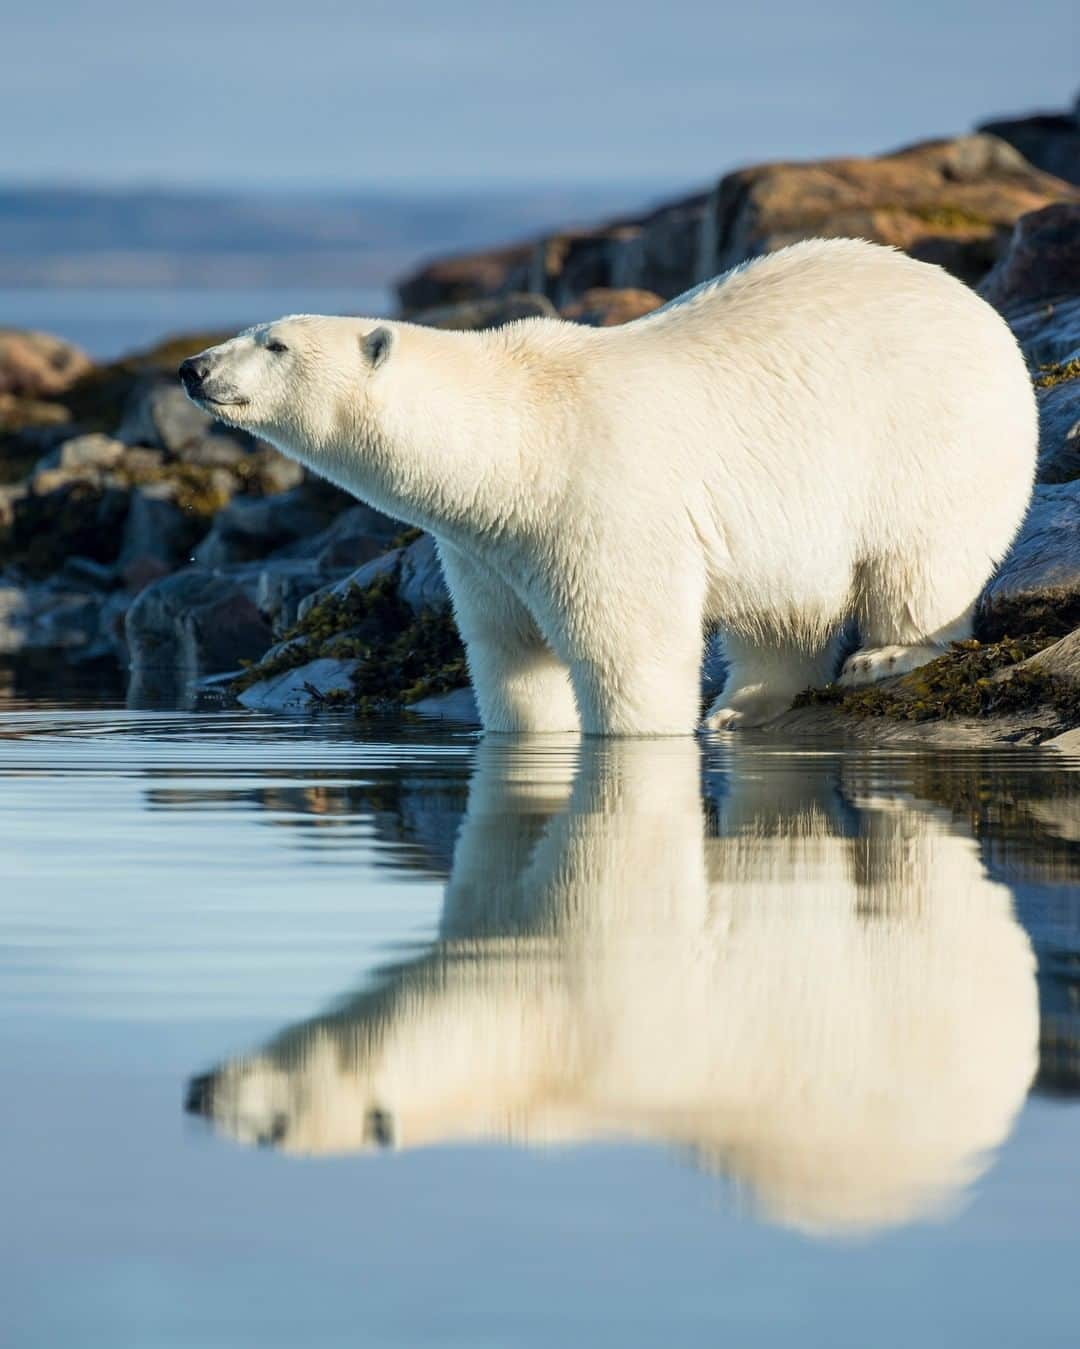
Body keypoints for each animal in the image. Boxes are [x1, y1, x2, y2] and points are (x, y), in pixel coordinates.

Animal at [180, 237, 1030, 733]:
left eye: (274, 343)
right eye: (252, 331)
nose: (193, 367)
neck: (517, 438)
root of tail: (979, 305)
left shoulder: (602, 500)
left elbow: (631, 649)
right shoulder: (487, 549)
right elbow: (510, 656)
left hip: (929, 435)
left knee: (923, 559)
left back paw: (886, 656)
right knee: (780, 614)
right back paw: (742, 706)